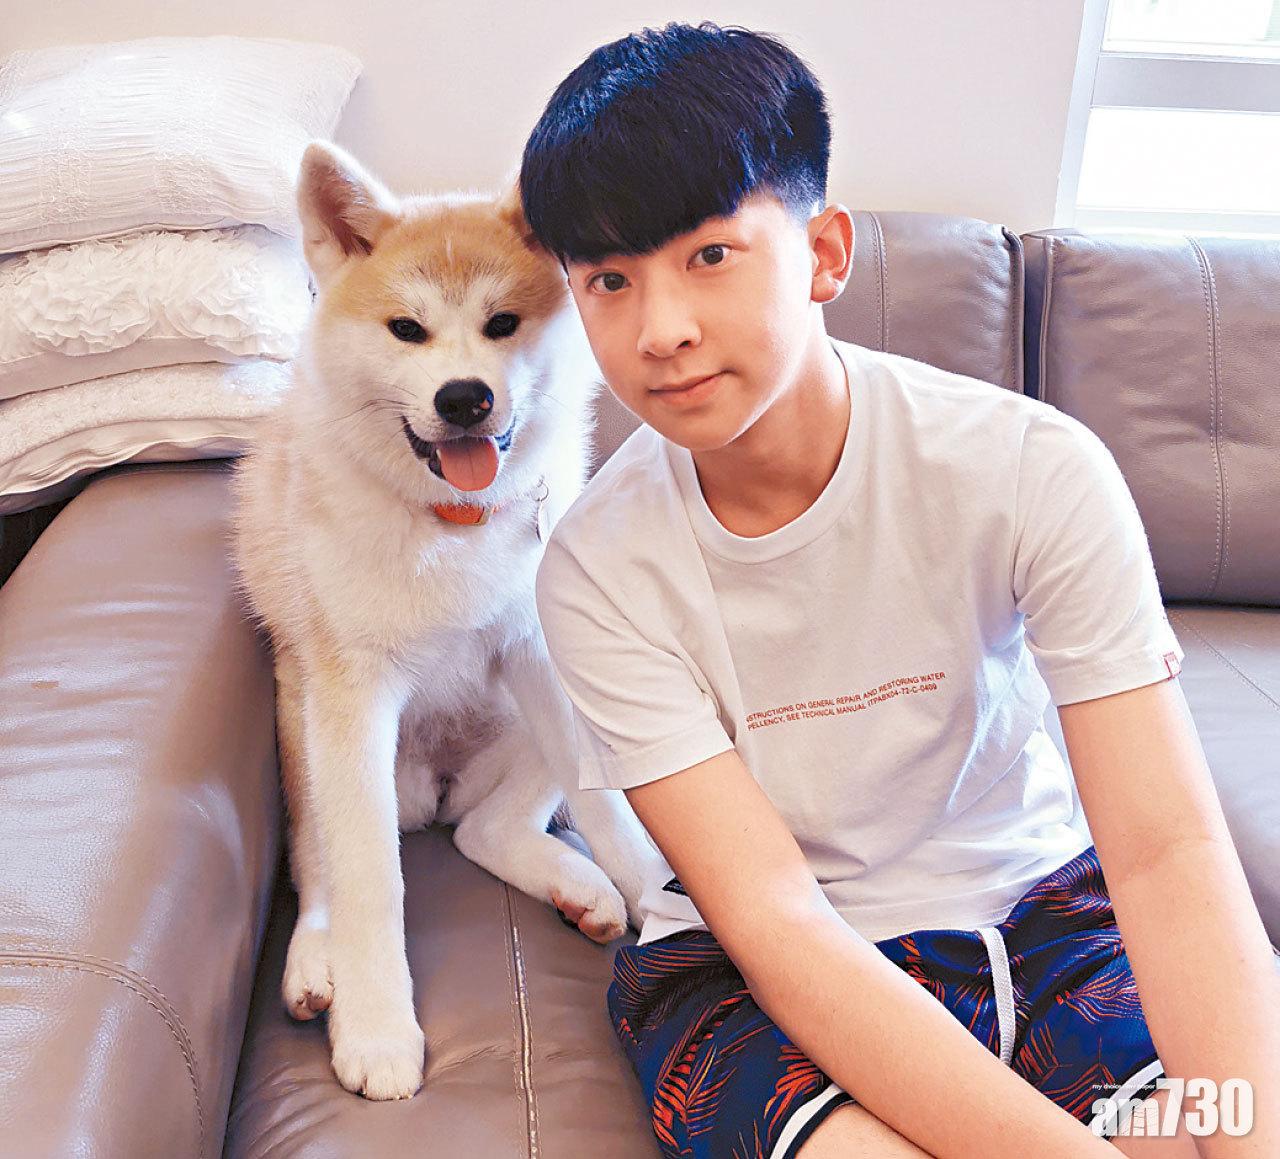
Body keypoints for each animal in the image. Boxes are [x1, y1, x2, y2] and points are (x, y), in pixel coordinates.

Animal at [228, 140, 656, 1101]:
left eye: (502, 323)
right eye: (405, 330)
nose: (465, 398)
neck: (453, 521)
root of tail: (436, 787)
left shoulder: (543, 655)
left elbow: (613, 810)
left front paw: (666, 895)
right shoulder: (353, 696)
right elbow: (370, 884)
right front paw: (378, 1028)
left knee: (482, 830)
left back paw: (579, 884)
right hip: (305, 728)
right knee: (324, 871)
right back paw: (317, 963)